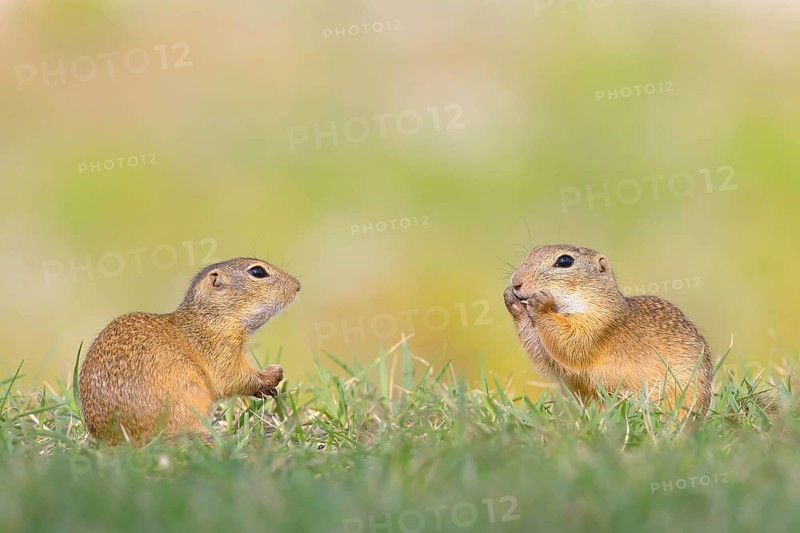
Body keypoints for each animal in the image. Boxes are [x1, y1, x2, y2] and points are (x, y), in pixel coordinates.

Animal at [78, 257, 300, 445]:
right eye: (257, 271)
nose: (297, 285)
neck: (210, 318)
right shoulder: (221, 349)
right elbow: (232, 378)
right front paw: (272, 375)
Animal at [503, 244, 713, 414]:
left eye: (564, 261)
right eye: (529, 254)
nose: (516, 282)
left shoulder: (598, 325)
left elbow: (570, 344)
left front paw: (541, 304)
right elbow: (546, 356)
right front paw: (511, 300)